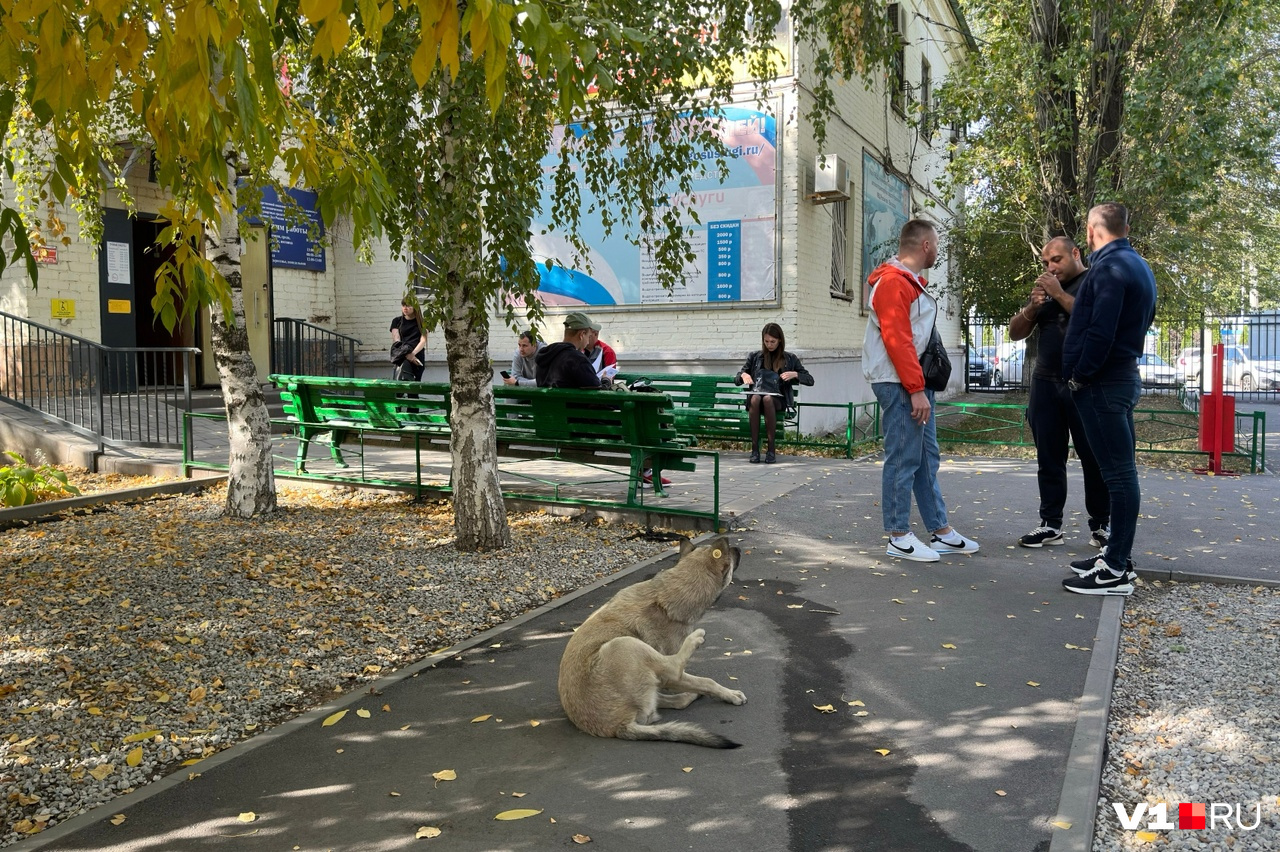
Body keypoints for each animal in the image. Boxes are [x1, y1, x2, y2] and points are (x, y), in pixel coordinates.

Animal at [555, 534, 747, 747]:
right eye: (731, 555)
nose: (738, 548)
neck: (666, 595)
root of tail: (618, 727)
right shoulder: (668, 674)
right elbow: (705, 681)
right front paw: (730, 694)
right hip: (625, 645)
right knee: (676, 669)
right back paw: (695, 640)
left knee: (673, 701)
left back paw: (690, 694)